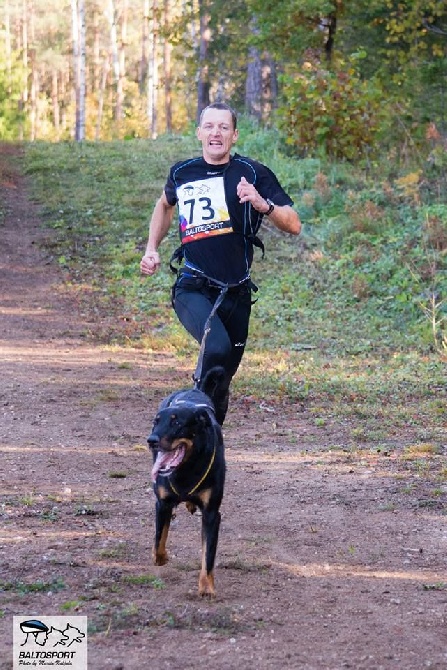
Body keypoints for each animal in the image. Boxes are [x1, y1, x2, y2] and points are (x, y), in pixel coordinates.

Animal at [148, 372, 226, 600]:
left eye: (177, 423)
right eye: (155, 422)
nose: (151, 440)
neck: (186, 470)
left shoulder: (212, 513)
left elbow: (208, 553)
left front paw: (206, 587)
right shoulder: (162, 502)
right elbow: (159, 537)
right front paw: (160, 557)